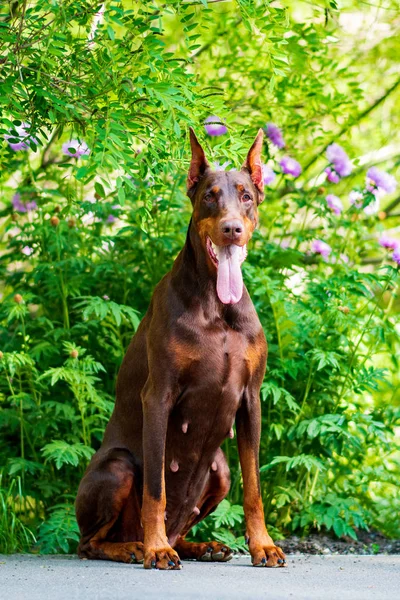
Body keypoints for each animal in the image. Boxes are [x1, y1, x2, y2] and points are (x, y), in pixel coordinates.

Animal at [75, 129, 286, 568]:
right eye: (209, 196)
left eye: (246, 196)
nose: (231, 229)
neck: (217, 307)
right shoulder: (159, 395)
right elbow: (155, 488)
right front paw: (156, 549)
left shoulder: (251, 398)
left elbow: (255, 486)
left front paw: (263, 545)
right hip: (117, 467)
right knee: (89, 542)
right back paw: (139, 546)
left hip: (220, 469)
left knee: (187, 519)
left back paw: (199, 545)